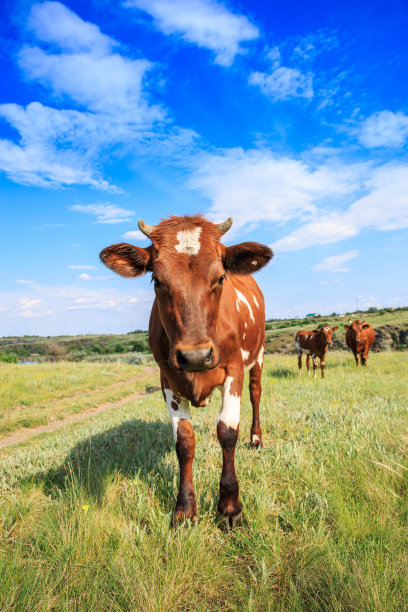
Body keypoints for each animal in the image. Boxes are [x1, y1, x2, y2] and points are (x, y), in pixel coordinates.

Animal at [99, 213, 272, 528]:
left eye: (220, 278)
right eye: (157, 279)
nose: (195, 356)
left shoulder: (234, 369)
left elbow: (227, 431)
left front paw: (230, 506)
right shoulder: (167, 378)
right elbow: (184, 441)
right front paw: (185, 508)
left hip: (259, 354)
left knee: (256, 393)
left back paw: (256, 439)